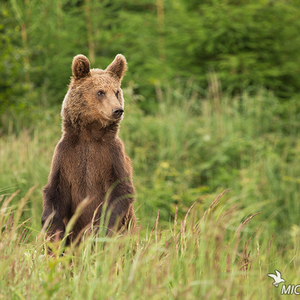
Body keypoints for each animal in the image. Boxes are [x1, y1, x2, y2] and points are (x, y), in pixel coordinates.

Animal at [40, 53, 136, 241]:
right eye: (100, 92)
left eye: (116, 91)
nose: (117, 110)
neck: (89, 135)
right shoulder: (66, 155)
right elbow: (55, 193)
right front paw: (55, 233)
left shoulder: (111, 156)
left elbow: (120, 191)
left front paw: (100, 230)